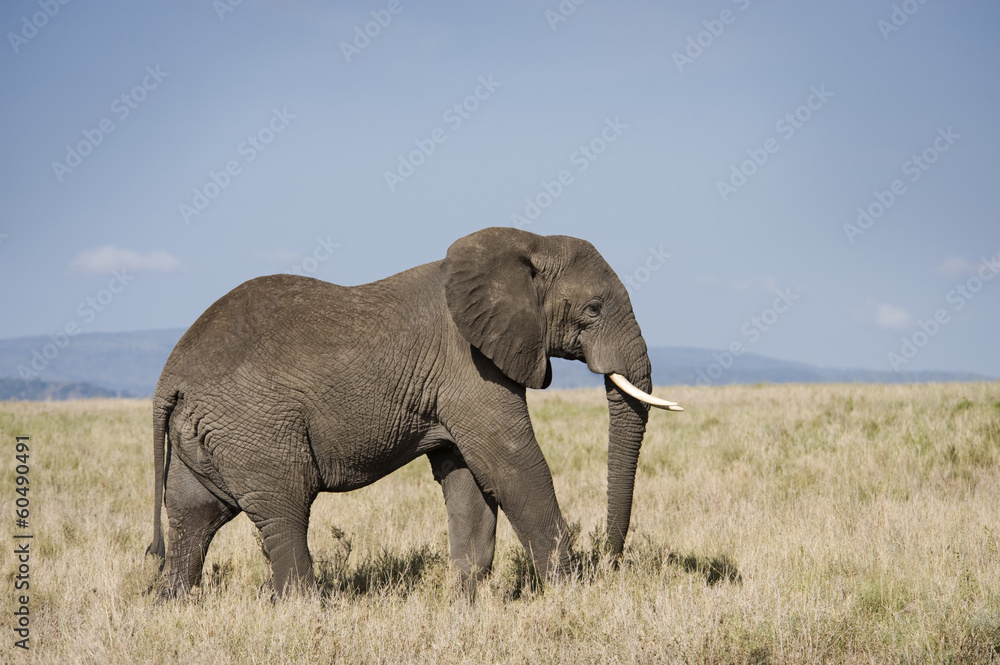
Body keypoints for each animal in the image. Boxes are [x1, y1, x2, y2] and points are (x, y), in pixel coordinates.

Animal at [146, 226, 680, 592]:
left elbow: (467, 477)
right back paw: (302, 607)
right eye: (592, 310)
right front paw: (572, 593)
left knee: (194, 515)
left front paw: (467, 600)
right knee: (284, 511)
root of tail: (170, 376)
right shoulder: (469, 366)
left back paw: (176, 604)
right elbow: (513, 466)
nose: (610, 560)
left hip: (204, 432)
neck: (527, 242)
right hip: (254, 426)